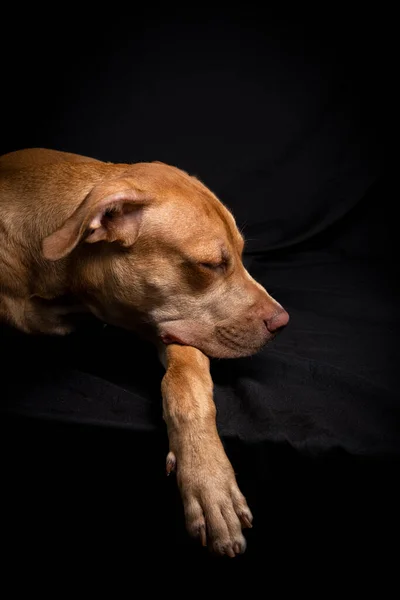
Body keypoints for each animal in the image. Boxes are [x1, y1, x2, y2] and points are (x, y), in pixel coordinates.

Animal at [0, 149, 288, 556]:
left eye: (242, 254)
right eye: (211, 264)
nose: (283, 321)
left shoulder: (171, 329)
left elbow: (185, 386)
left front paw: (208, 479)